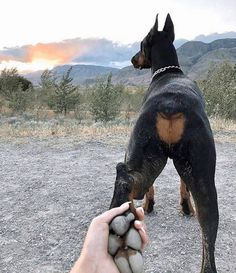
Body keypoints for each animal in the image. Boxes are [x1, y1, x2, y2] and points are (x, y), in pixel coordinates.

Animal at [110, 14, 219, 272]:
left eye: (141, 44)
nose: (133, 59)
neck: (167, 72)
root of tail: (170, 105)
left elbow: (154, 189)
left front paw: (153, 206)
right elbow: (182, 185)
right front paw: (186, 207)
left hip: (141, 154)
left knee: (127, 179)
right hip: (203, 176)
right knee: (208, 228)